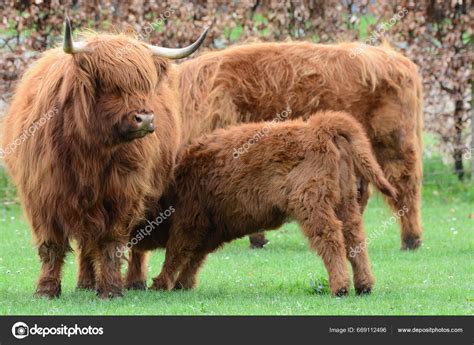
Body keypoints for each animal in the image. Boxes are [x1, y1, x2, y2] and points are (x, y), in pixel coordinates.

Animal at [0, 18, 207, 296]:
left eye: (145, 86)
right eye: (111, 86)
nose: (145, 119)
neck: (90, 150)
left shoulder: (123, 192)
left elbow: (111, 242)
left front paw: (111, 289)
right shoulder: (43, 195)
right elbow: (51, 244)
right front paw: (46, 289)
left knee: (136, 242)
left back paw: (134, 281)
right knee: (86, 242)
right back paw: (85, 283)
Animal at [148, 111, 396, 296]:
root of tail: (318, 127)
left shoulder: (189, 220)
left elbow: (176, 253)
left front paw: (160, 283)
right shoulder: (210, 229)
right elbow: (194, 257)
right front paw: (182, 284)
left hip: (312, 204)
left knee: (331, 236)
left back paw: (340, 287)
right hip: (346, 203)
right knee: (355, 237)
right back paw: (364, 285)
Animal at [177, 41, 422, 249]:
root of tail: (398, 59)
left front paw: (256, 238)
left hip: (392, 142)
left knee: (404, 183)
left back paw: (411, 240)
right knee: (360, 191)